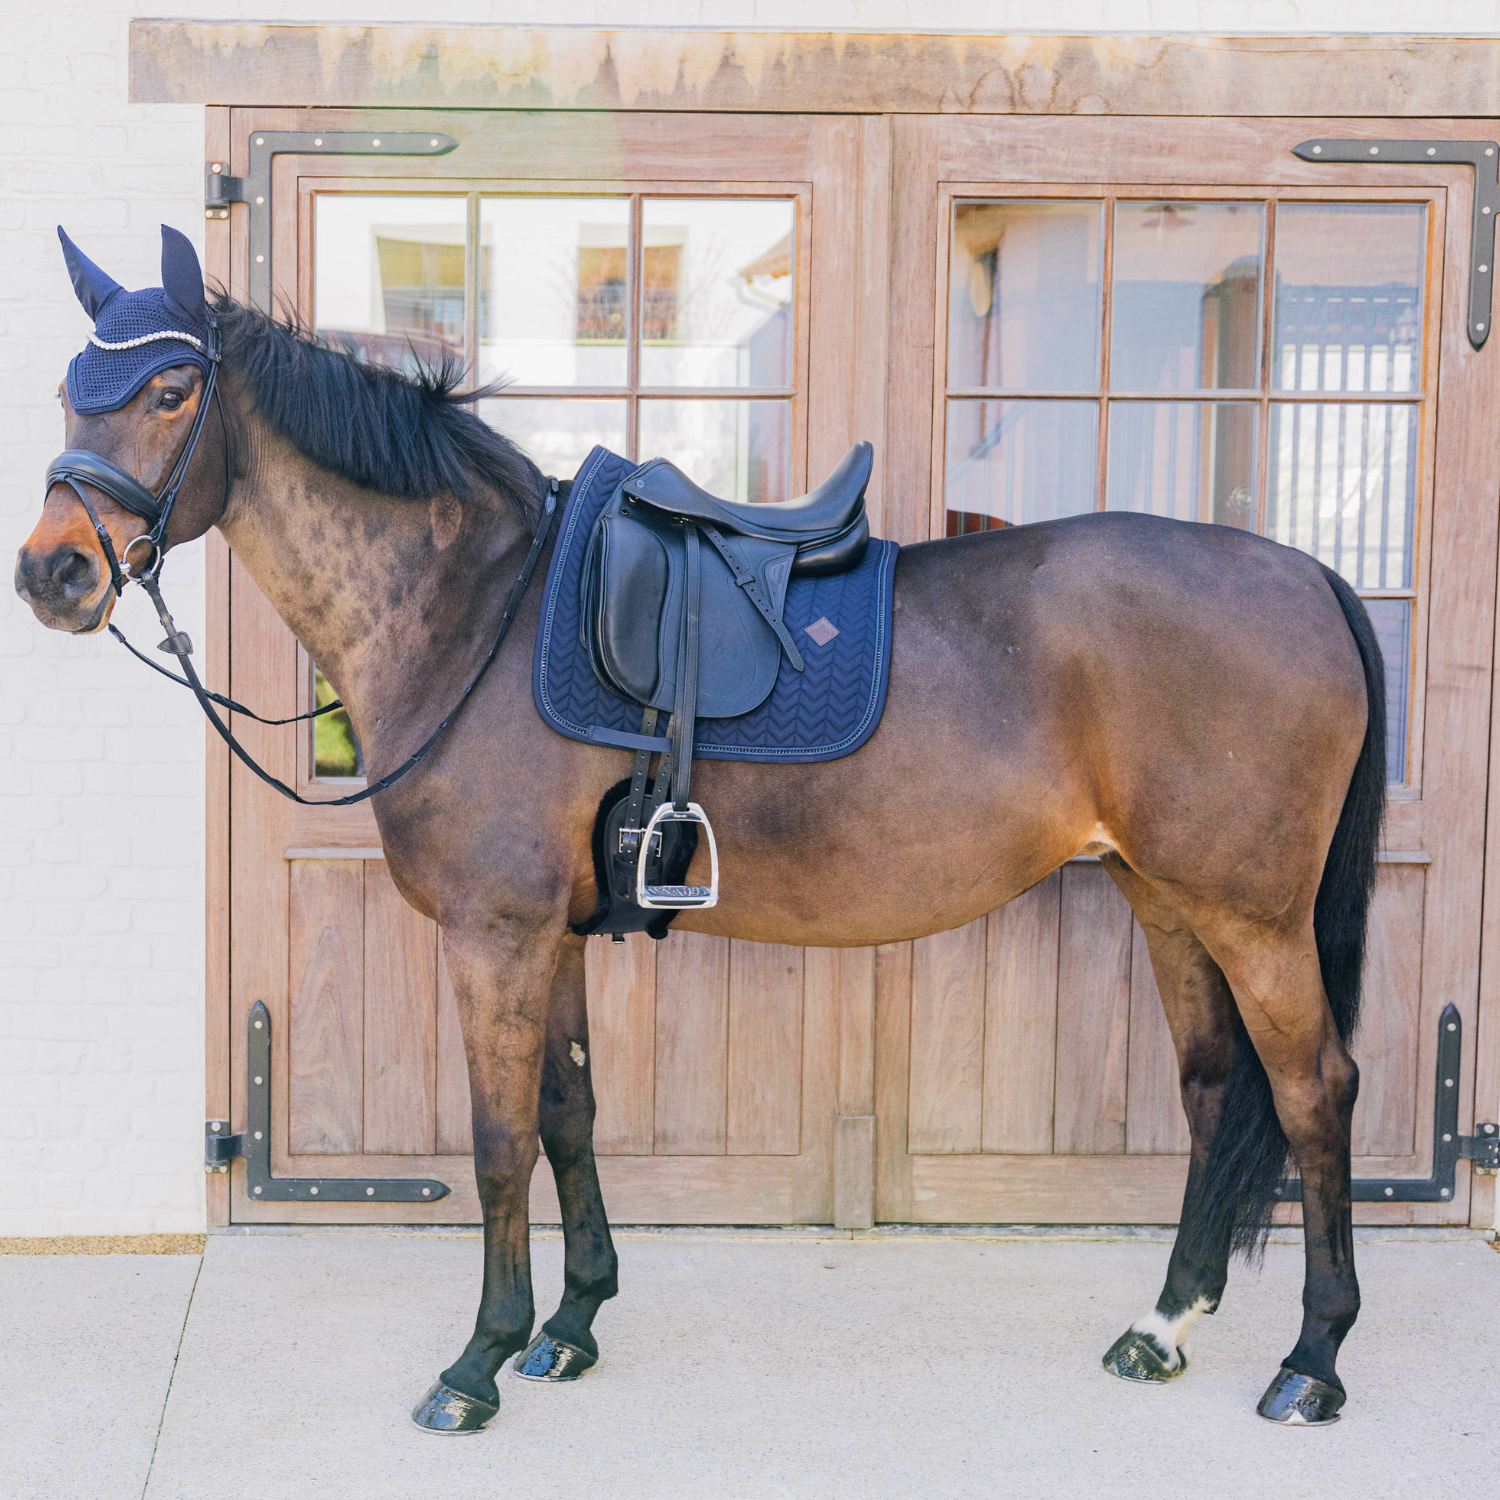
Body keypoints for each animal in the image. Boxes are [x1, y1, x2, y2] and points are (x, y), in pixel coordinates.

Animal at [14, 234, 1380, 1428]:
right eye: (72, 390)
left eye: (171, 388)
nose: (51, 575)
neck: (474, 610)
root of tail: (1308, 573)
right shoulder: (553, 934)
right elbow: (568, 1113)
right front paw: (570, 1326)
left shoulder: (494, 933)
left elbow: (498, 1140)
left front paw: (477, 1363)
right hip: (1168, 900)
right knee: (1214, 1091)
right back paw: (1165, 1326)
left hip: (1254, 917)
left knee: (1315, 1090)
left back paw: (1313, 1362)